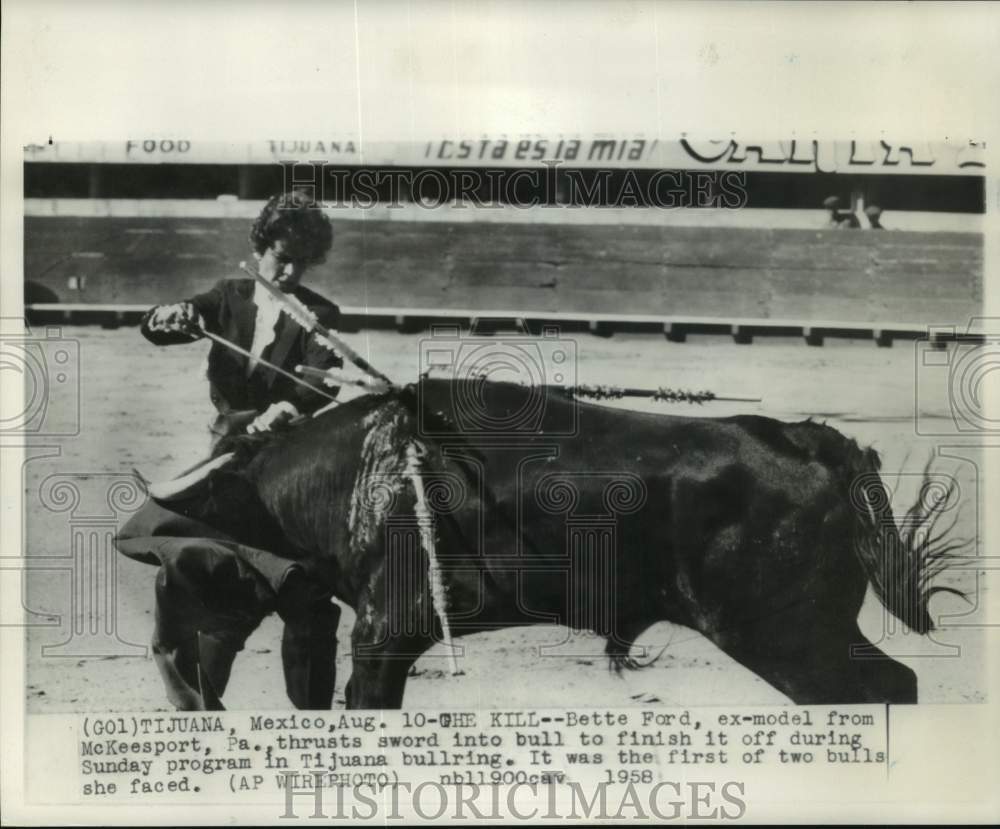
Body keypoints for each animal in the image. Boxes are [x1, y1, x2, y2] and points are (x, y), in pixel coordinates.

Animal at [119, 378, 968, 708]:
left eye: (184, 570)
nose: (173, 672)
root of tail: (817, 441)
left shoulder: (382, 635)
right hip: (808, 633)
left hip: (787, 635)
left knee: (878, 688)